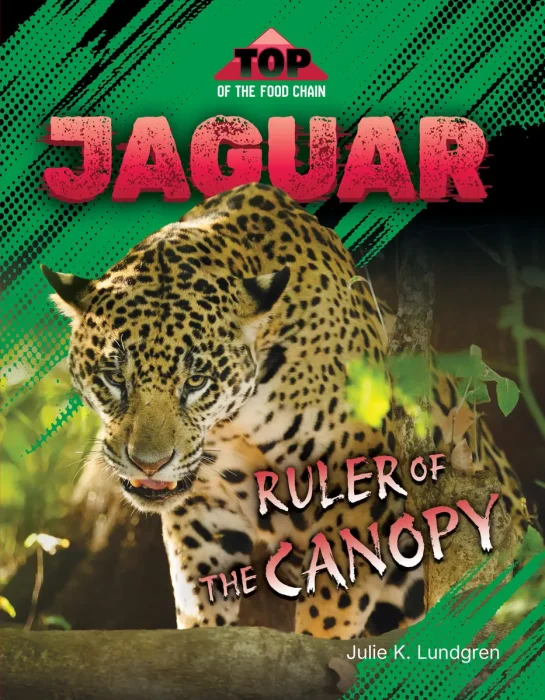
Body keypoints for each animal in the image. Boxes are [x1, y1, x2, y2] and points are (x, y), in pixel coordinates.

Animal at [42, 183, 531, 639]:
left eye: (195, 382)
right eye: (114, 377)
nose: (149, 464)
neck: (237, 418)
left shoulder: (358, 485)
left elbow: (334, 600)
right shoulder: (203, 506)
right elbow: (200, 597)